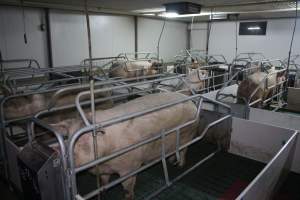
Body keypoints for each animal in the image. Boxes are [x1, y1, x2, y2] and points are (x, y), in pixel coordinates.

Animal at [50, 92, 198, 200]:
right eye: (68, 137)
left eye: (84, 138)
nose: (57, 150)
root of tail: (190, 101)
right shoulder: (104, 169)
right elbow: (104, 181)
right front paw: (103, 193)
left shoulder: (130, 167)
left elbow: (128, 188)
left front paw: (128, 197)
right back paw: (171, 160)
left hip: (187, 133)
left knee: (184, 150)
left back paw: (179, 166)